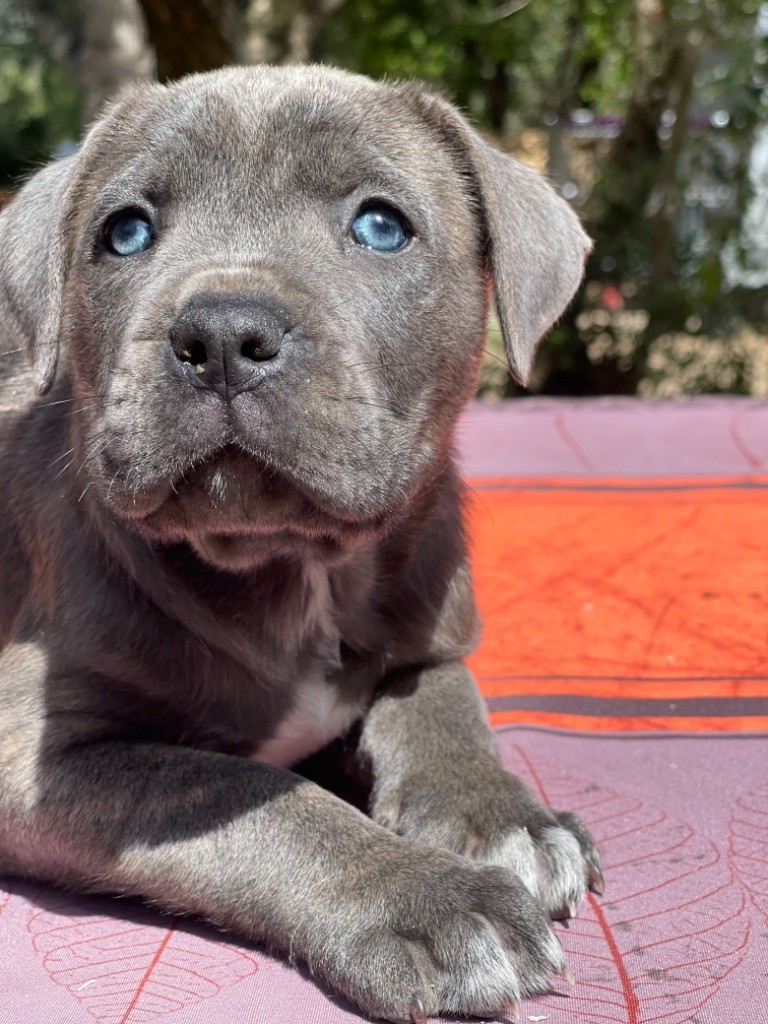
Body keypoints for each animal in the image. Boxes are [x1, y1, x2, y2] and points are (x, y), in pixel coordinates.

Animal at [0, 66, 602, 1024]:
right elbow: (251, 790)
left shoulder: (432, 636)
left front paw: (502, 817)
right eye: (124, 232)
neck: (293, 563)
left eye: (381, 225)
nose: (220, 335)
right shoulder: (38, 757)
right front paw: (425, 894)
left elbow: (447, 708)